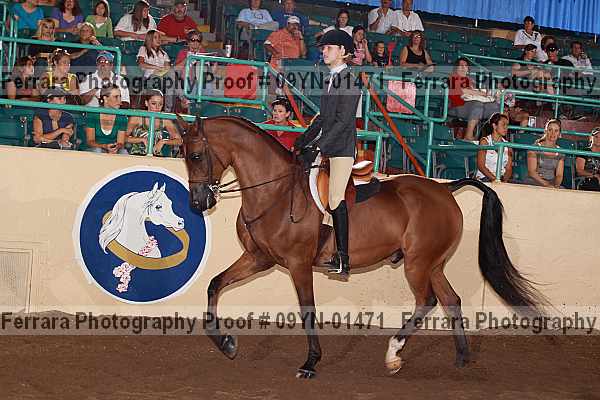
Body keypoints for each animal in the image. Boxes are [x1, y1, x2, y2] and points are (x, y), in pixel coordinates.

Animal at [175, 116, 547, 379]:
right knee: (451, 300)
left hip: (417, 263)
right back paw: (461, 356)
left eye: (196, 155)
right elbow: (214, 284)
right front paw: (225, 342)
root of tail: (445, 189)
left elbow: (307, 310)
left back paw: (394, 354)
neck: (275, 192)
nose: (198, 203)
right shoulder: (258, 258)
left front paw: (311, 363)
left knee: (427, 300)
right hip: (433, 263)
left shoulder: (297, 263)